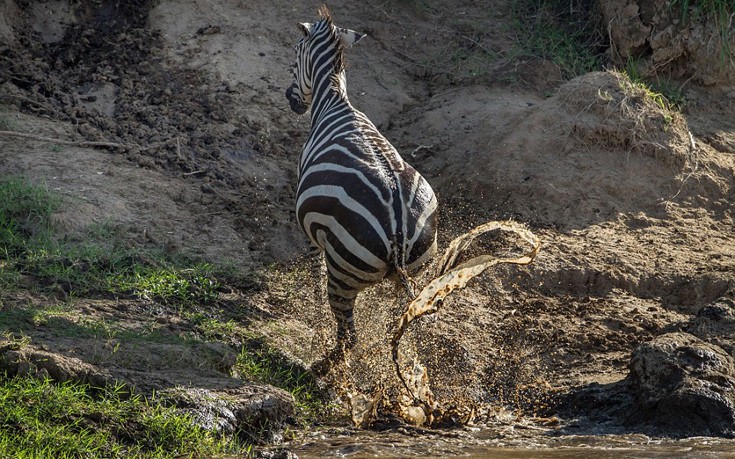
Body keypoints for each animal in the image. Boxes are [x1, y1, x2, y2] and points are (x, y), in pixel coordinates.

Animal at [286, 5, 436, 362]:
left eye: (294, 56)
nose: (291, 100)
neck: (334, 100)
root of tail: (398, 229)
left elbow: (314, 265)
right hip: (418, 270)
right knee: (397, 326)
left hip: (343, 272)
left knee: (348, 335)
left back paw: (327, 364)